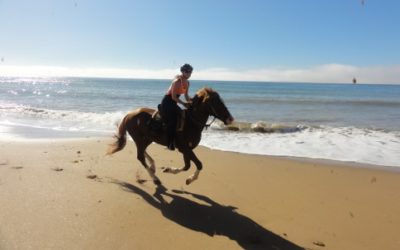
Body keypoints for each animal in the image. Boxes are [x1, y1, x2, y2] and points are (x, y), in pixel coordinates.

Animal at [106, 87, 234, 185]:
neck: (191, 122)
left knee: (143, 151)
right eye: (216, 102)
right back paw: (155, 178)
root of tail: (129, 114)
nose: (230, 119)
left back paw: (153, 166)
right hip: (139, 138)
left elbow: (187, 166)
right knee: (140, 157)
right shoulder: (184, 148)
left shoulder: (187, 149)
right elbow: (199, 164)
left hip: (147, 138)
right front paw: (190, 179)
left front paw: (170, 170)